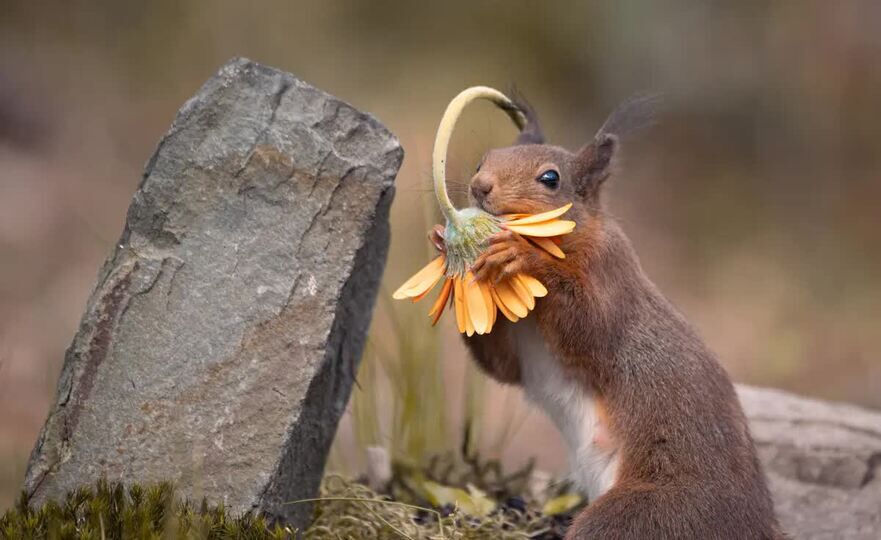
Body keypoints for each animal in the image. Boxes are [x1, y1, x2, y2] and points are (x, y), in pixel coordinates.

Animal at [430, 98, 780, 540]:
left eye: (550, 178)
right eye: (483, 160)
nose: (480, 186)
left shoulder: (612, 279)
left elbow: (590, 331)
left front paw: (526, 257)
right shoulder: (518, 344)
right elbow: (501, 365)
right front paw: (442, 247)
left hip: (646, 516)